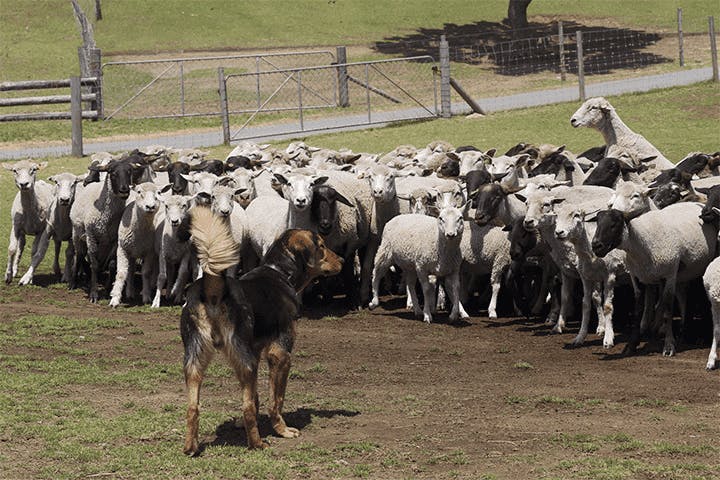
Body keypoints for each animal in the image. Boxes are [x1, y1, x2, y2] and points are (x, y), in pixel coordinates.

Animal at [180, 207, 344, 454]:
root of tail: (213, 287)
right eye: (322, 246)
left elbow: (256, 397)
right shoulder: (280, 354)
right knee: (246, 408)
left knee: (193, 408)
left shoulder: (255, 352)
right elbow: (276, 400)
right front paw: (282, 430)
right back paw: (257, 444)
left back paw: (191, 447)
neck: (281, 272)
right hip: (244, 360)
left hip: (196, 360)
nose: (343, 260)